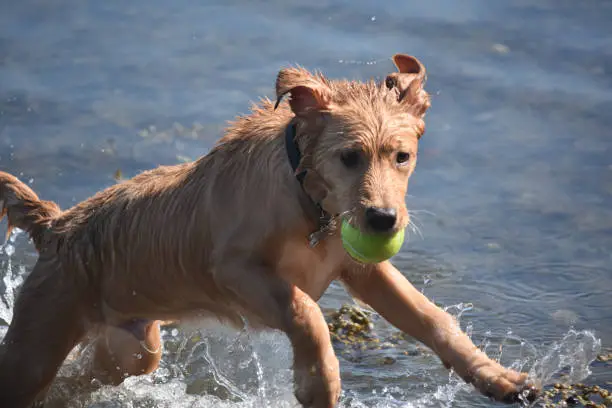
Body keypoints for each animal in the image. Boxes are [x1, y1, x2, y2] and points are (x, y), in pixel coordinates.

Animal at [0, 54, 536, 408]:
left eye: (401, 157)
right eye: (349, 157)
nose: (384, 220)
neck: (311, 205)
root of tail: (55, 226)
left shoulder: (365, 270)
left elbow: (432, 319)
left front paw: (497, 377)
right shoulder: (235, 270)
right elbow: (305, 311)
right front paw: (319, 382)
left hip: (133, 347)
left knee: (81, 380)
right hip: (37, 341)